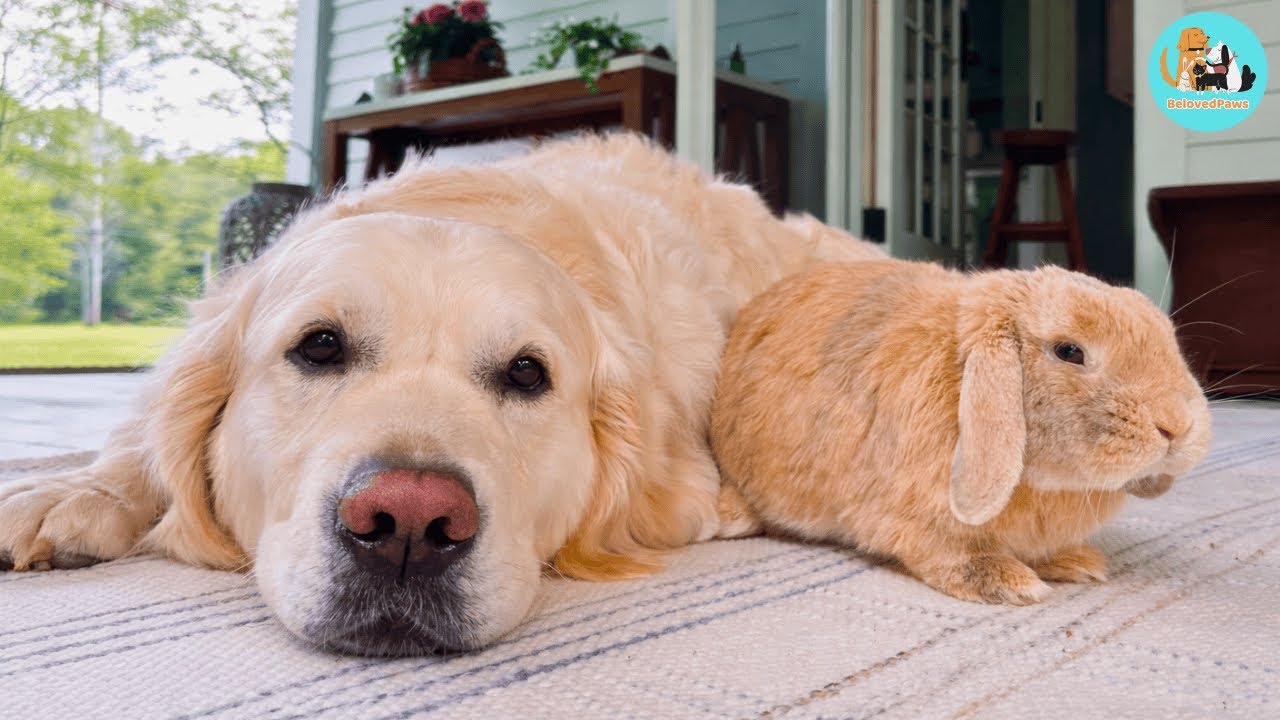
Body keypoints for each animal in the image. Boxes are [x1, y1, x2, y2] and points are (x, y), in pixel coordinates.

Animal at [710, 259, 1212, 605]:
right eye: (1070, 352)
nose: (1178, 426)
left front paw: (1078, 562)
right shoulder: (911, 518)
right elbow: (948, 552)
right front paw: (1010, 584)